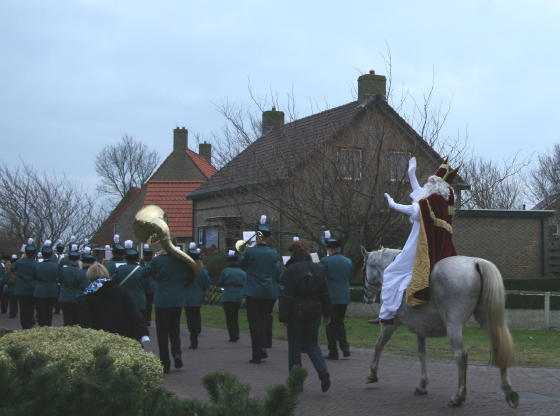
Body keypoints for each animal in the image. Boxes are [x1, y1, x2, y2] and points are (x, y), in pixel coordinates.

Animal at [360, 247, 520, 406]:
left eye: (363, 269)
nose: (367, 297)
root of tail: (477, 262)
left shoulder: (390, 325)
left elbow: (379, 345)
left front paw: (372, 374)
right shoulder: (421, 329)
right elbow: (422, 353)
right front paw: (422, 385)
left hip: (453, 325)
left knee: (461, 356)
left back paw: (458, 396)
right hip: (486, 319)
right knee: (499, 347)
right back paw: (509, 392)